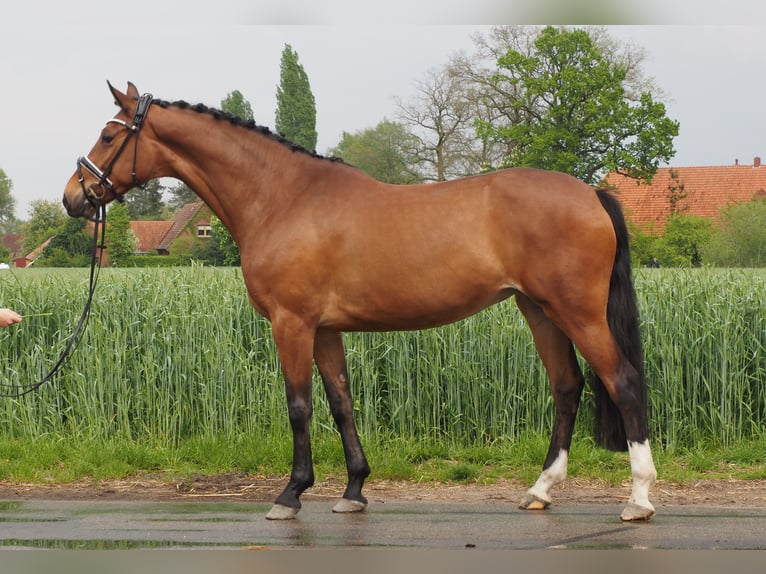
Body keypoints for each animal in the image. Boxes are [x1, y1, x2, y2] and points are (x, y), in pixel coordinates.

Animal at [63, 82, 656, 528]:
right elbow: (341, 402)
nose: (73, 197)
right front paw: (353, 490)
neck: (283, 197)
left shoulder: (292, 324)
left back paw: (639, 499)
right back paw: (541, 490)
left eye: (109, 133)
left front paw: (290, 494)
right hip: (538, 311)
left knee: (622, 381)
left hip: (576, 312)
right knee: (567, 387)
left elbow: (300, 406)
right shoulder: (326, 329)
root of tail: (590, 194)